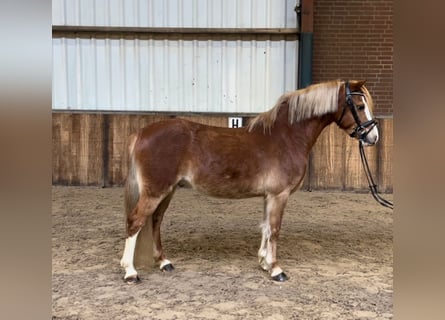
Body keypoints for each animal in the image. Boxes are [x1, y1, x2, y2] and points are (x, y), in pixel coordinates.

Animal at [119, 80, 376, 282]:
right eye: (360, 106)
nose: (373, 137)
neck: (286, 136)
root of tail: (140, 133)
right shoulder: (279, 195)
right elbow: (274, 229)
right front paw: (276, 270)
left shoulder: (269, 196)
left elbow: (265, 227)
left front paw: (264, 263)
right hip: (156, 191)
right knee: (135, 221)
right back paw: (130, 272)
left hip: (167, 190)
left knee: (155, 221)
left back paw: (164, 262)